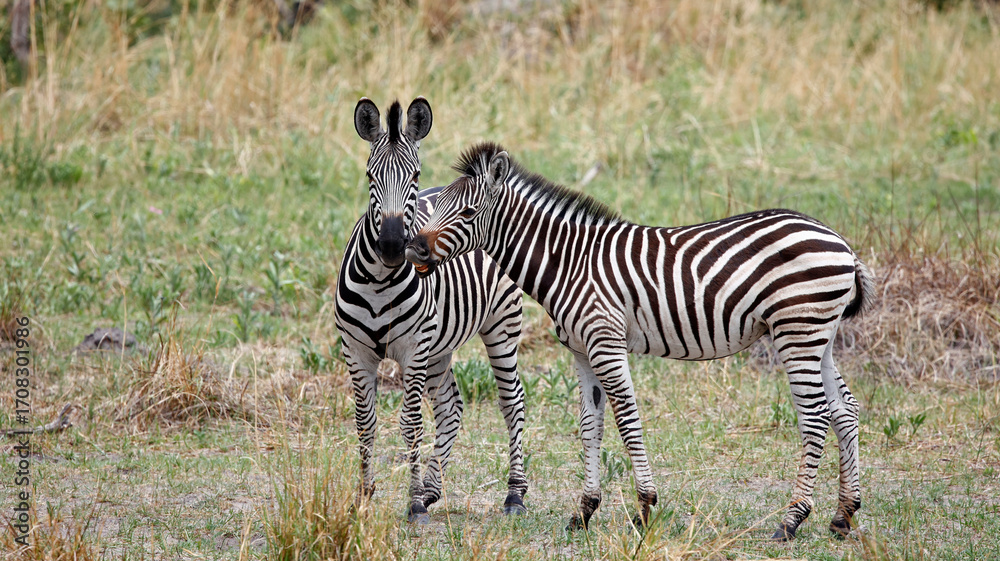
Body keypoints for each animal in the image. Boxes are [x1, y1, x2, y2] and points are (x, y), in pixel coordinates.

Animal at [334, 105, 529, 522]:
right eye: (370, 176)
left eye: (415, 176)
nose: (393, 247)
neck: (380, 280)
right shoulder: (355, 351)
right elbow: (364, 422)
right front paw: (365, 497)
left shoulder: (413, 349)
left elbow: (410, 423)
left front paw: (412, 504)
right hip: (439, 345)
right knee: (450, 407)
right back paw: (432, 489)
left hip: (501, 326)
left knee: (512, 401)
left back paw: (514, 494)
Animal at [406, 142, 875, 540]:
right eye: (438, 205)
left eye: (468, 212)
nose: (412, 249)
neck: (569, 263)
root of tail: (841, 244)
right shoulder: (581, 351)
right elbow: (589, 426)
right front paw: (584, 511)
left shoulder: (605, 342)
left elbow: (628, 421)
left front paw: (645, 507)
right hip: (820, 336)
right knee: (844, 410)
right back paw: (842, 516)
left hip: (798, 331)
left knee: (814, 417)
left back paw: (792, 519)